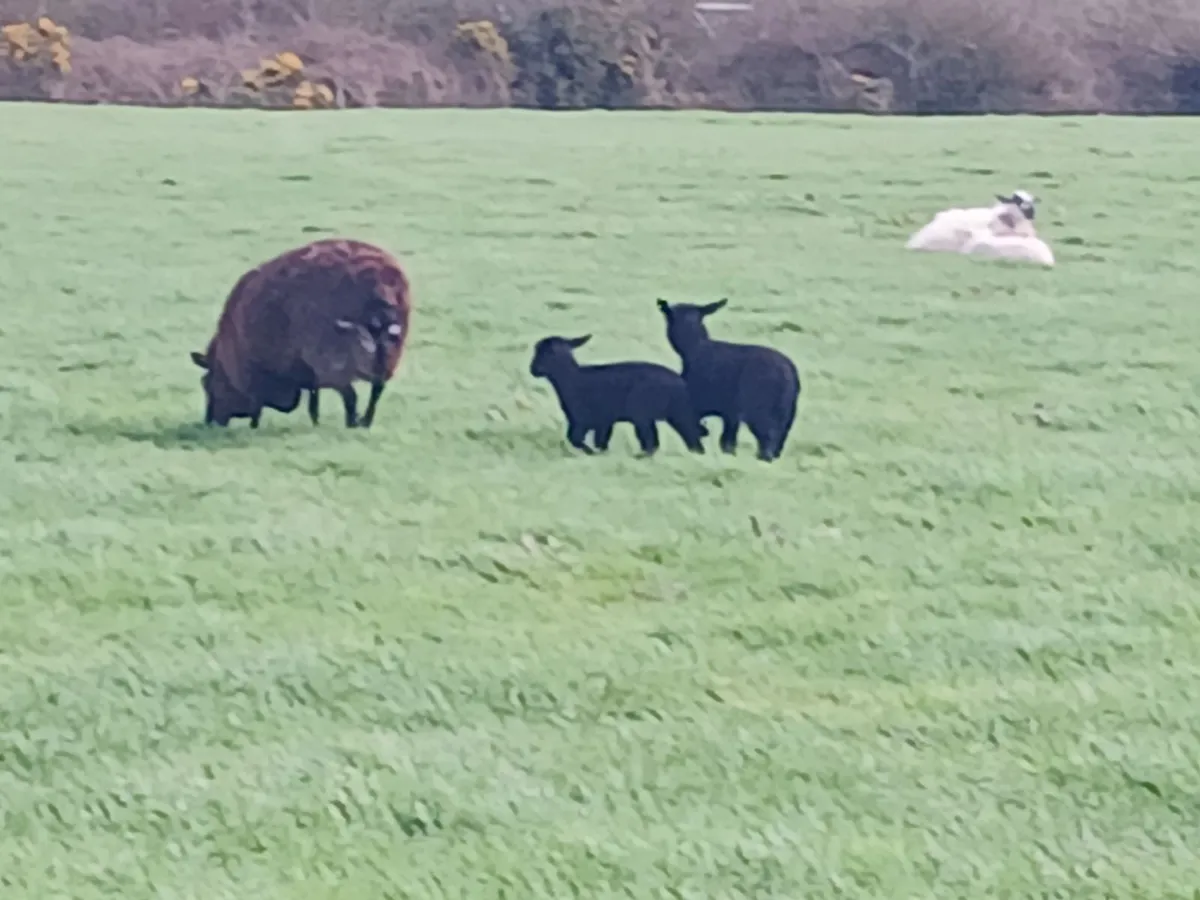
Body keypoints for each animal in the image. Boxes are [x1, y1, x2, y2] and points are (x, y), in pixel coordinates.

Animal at [189, 238, 412, 429]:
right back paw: (365, 422)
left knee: (351, 394)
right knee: (377, 387)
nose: (210, 422)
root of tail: (379, 284)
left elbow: (257, 407)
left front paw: (254, 426)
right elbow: (313, 401)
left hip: (333, 358)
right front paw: (316, 422)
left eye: (207, 384)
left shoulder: (254, 372)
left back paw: (353, 422)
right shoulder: (307, 372)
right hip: (388, 351)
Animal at [528, 334, 706, 456]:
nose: (533, 370)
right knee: (691, 440)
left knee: (651, 443)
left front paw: (591, 454)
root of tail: (680, 383)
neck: (571, 379)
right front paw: (600, 454)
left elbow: (576, 439)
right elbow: (600, 442)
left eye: (543, 353)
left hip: (642, 412)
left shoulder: (582, 419)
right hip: (677, 413)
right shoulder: (603, 421)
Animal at [656, 298, 800, 462]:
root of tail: (788, 373)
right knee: (777, 442)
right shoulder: (730, 413)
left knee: (768, 439)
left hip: (759, 409)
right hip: (787, 414)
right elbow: (727, 441)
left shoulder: (702, 403)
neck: (694, 348)